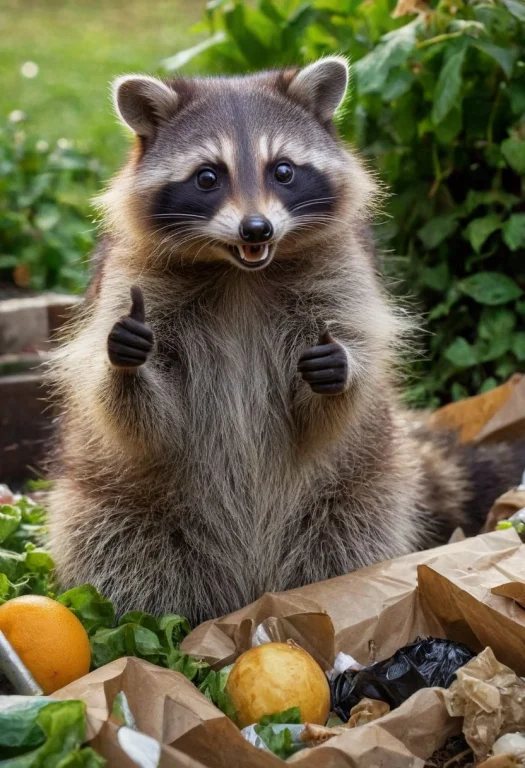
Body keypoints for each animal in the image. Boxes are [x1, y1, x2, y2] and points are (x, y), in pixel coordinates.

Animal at [48, 58, 525, 626]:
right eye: (208, 177)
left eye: (283, 170)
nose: (256, 229)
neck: (241, 272)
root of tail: (250, 586)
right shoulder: (126, 279)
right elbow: (135, 416)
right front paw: (127, 363)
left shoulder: (346, 273)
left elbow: (342, 394)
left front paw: (342, 368)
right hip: (114, 505)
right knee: (123, 556)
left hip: (359, 492)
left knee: (348, 540)